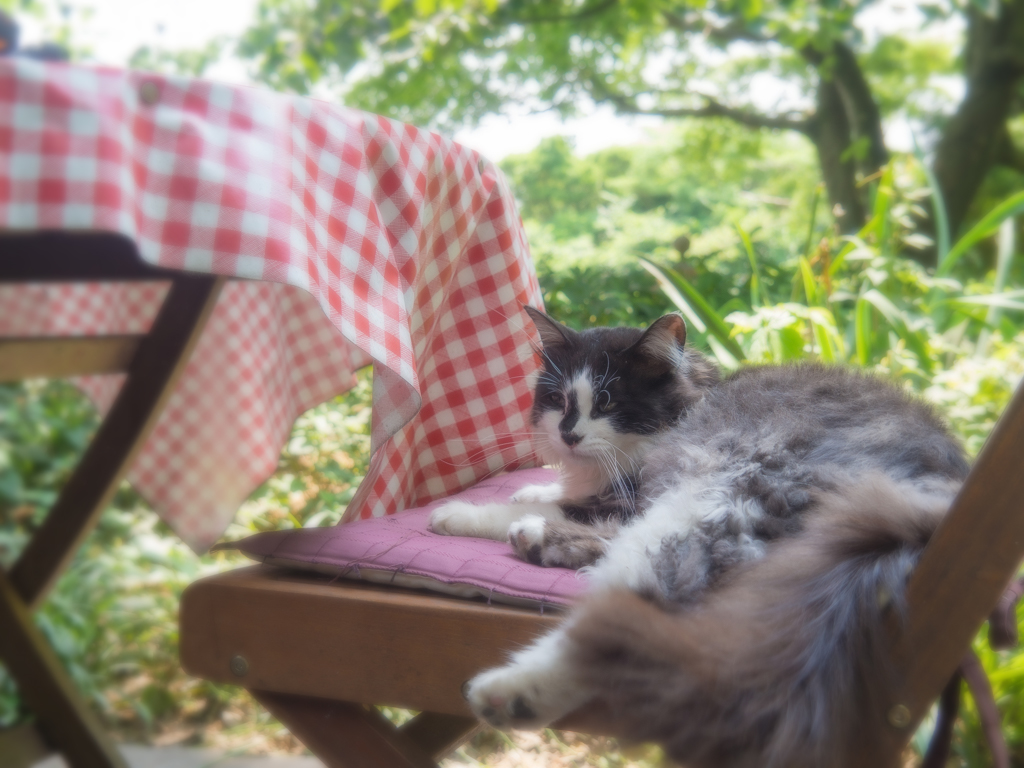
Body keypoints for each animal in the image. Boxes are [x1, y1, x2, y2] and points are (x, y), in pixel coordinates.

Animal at [425, 309, 966, 768]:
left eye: (607, 402)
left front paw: (454, 514)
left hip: (716, 490)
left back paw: (509, 692)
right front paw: (529, 491)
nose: (568, 435)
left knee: (627, 608)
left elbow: (552, 504)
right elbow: (551, 492)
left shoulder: (630, 497)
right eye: (558, 400)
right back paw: (532, 542)